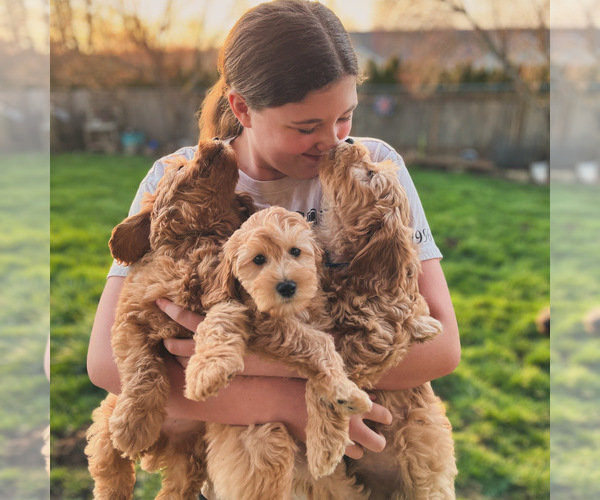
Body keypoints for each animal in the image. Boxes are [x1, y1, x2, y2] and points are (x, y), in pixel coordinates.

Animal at [84, 138, 253, 500]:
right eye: (179, 166)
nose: (214, 139)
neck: (197, 236)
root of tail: (158, 450)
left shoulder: (229, 297)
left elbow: (221, 325)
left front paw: (211, 371)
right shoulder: (131, 320)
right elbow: (143, 368)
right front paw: (133, 426)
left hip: (189, 458)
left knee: (175, 490)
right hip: (105, 426)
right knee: (111, 475)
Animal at [186, 206, 376, 500]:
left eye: (295, 251)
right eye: (258, 259)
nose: (287, 286)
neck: (292, 312)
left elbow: (318, 366)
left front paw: (327, 439)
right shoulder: (262, 321)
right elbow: (319, 344)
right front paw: (207, 373)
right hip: (264, 443)